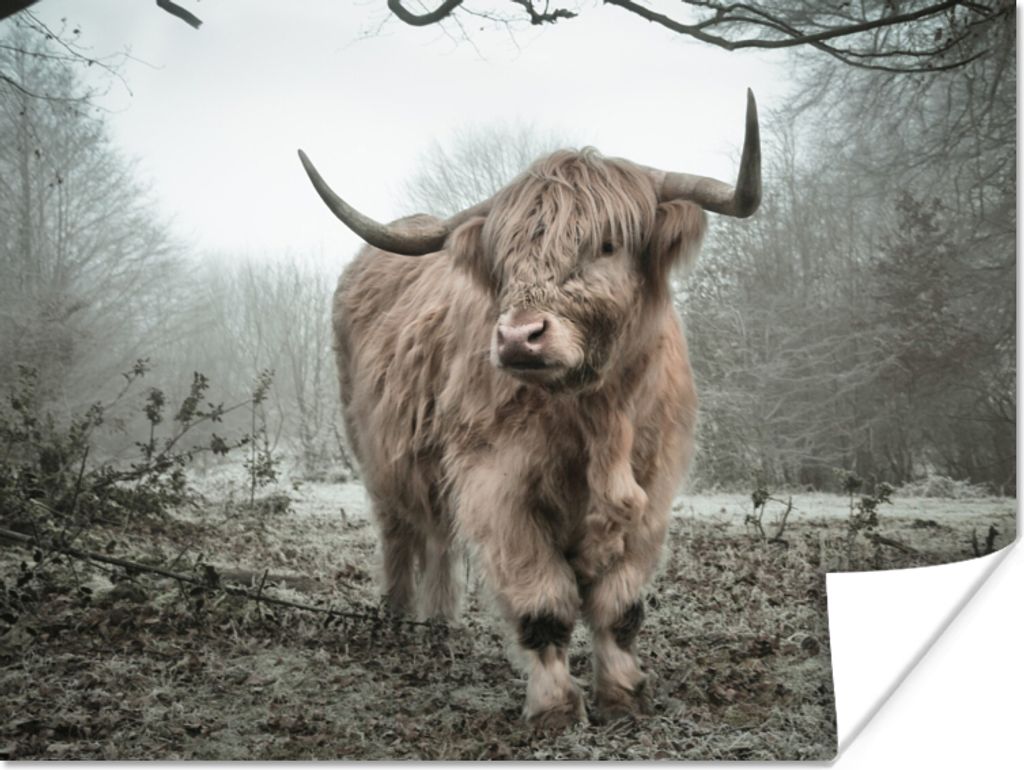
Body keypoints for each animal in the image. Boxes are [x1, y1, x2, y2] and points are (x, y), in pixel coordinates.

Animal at [298, 91, 761, 728]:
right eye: (506, 257)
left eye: (607, 244)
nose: (519, 337)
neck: (596, 417)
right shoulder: (498, 486)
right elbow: (544, 604)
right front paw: (556, 709)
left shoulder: (653, 488)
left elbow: (620, 607)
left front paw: (623, 695)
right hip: (376, 454)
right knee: (400, 534)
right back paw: (397, 620)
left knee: (438, 538)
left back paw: (439, 625)